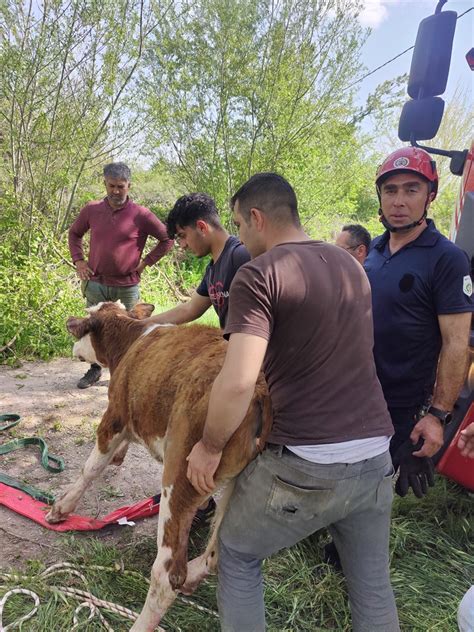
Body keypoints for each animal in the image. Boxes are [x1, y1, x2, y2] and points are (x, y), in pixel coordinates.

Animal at [47, 302, 272, 632]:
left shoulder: (114, 416)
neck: (131, 340)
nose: (71, 339)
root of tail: (257, 389)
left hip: (180, 476)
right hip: (237, 486)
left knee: (167, 575)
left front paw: (61, 508)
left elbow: (91, 467)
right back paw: (194, 576)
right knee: (217, 553)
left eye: (83, 323)